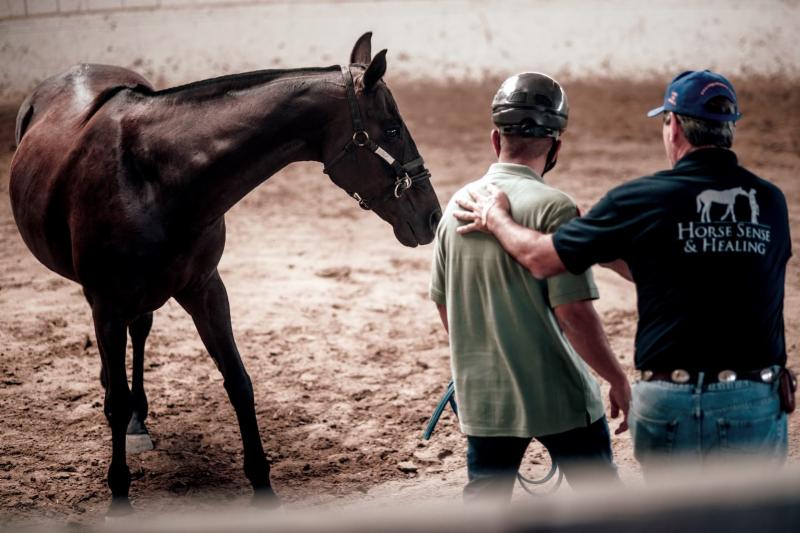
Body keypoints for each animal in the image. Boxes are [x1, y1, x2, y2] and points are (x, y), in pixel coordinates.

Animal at [9, 32, 441, 514]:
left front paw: (263, 487)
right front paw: (119, 496)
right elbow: (117, 401)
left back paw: (139, 421)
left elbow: (238, 381)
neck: (153, 179)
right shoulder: (107, 303)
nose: (432, 214)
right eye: (392, 129)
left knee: (140, 333)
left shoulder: (205, 289)